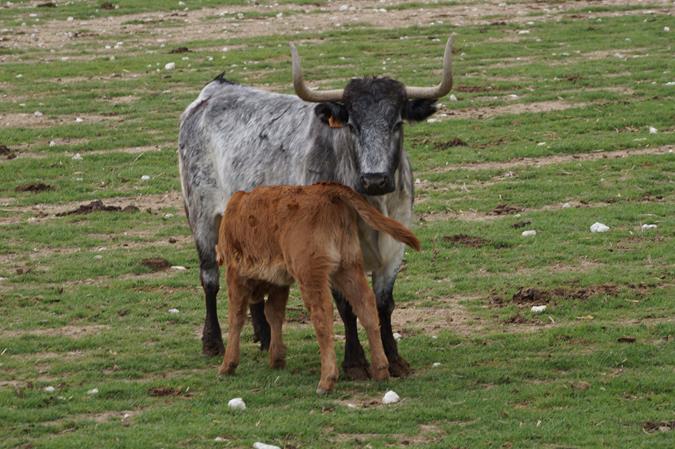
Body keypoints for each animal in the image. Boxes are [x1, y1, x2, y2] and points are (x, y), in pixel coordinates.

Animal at [214, 182, 420, 392]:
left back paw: (327, 380)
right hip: (348, 267)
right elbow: (274, 314)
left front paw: (228, 365)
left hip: (311, 273)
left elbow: (237, 317)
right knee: (366, 305)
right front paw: (277, 359)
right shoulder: (279, 283)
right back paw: (380, 371)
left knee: (322, 312)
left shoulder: (235, 275)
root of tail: (327, 190)